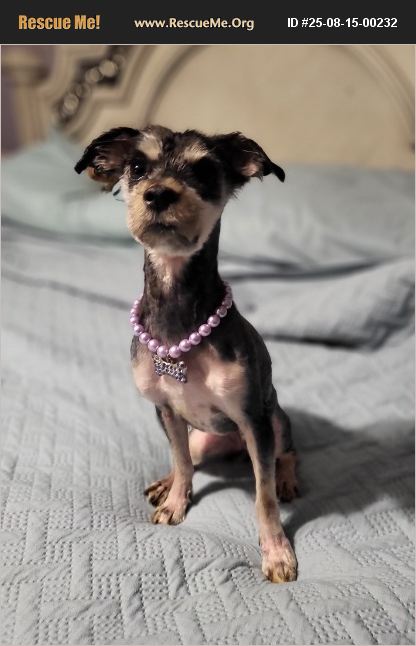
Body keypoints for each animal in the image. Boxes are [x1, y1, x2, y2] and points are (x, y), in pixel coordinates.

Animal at [75, 125, 299, 583]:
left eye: (205, 170)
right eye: (137, 166)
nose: (159, 194)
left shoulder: (254, 420)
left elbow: (263, 496)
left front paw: (276, 552)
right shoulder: (165, 410)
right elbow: (180, 462)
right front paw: (176, 500)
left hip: (275, 421)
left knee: (285, 455)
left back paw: (286, 478)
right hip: (200, 434)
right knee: (190, 460)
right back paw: (166, 483)